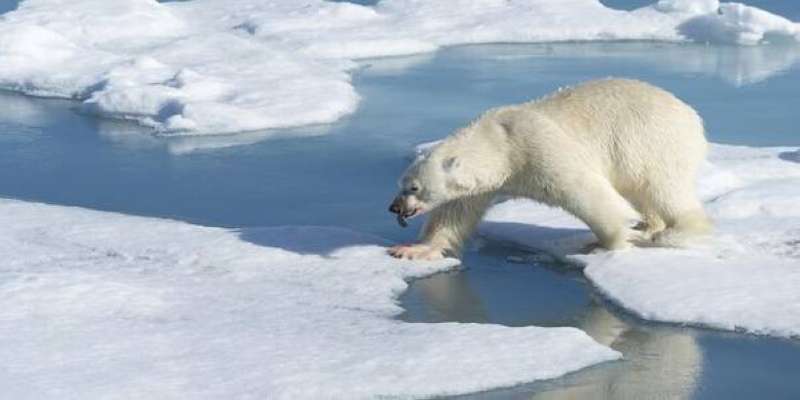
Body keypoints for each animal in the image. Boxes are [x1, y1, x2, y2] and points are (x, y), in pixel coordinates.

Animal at [390, 79, 708, 260]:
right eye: (400, 183)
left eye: (414, 187)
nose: (395, 208)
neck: (500, 141)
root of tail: (691, 115)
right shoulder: (484, 182)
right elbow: (456, 213)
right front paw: (414, 249)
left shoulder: (536, 147)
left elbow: (586, 191)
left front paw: (608, 245)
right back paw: (649, 225)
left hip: (652, 142)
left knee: (665, 190)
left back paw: (679, 232)